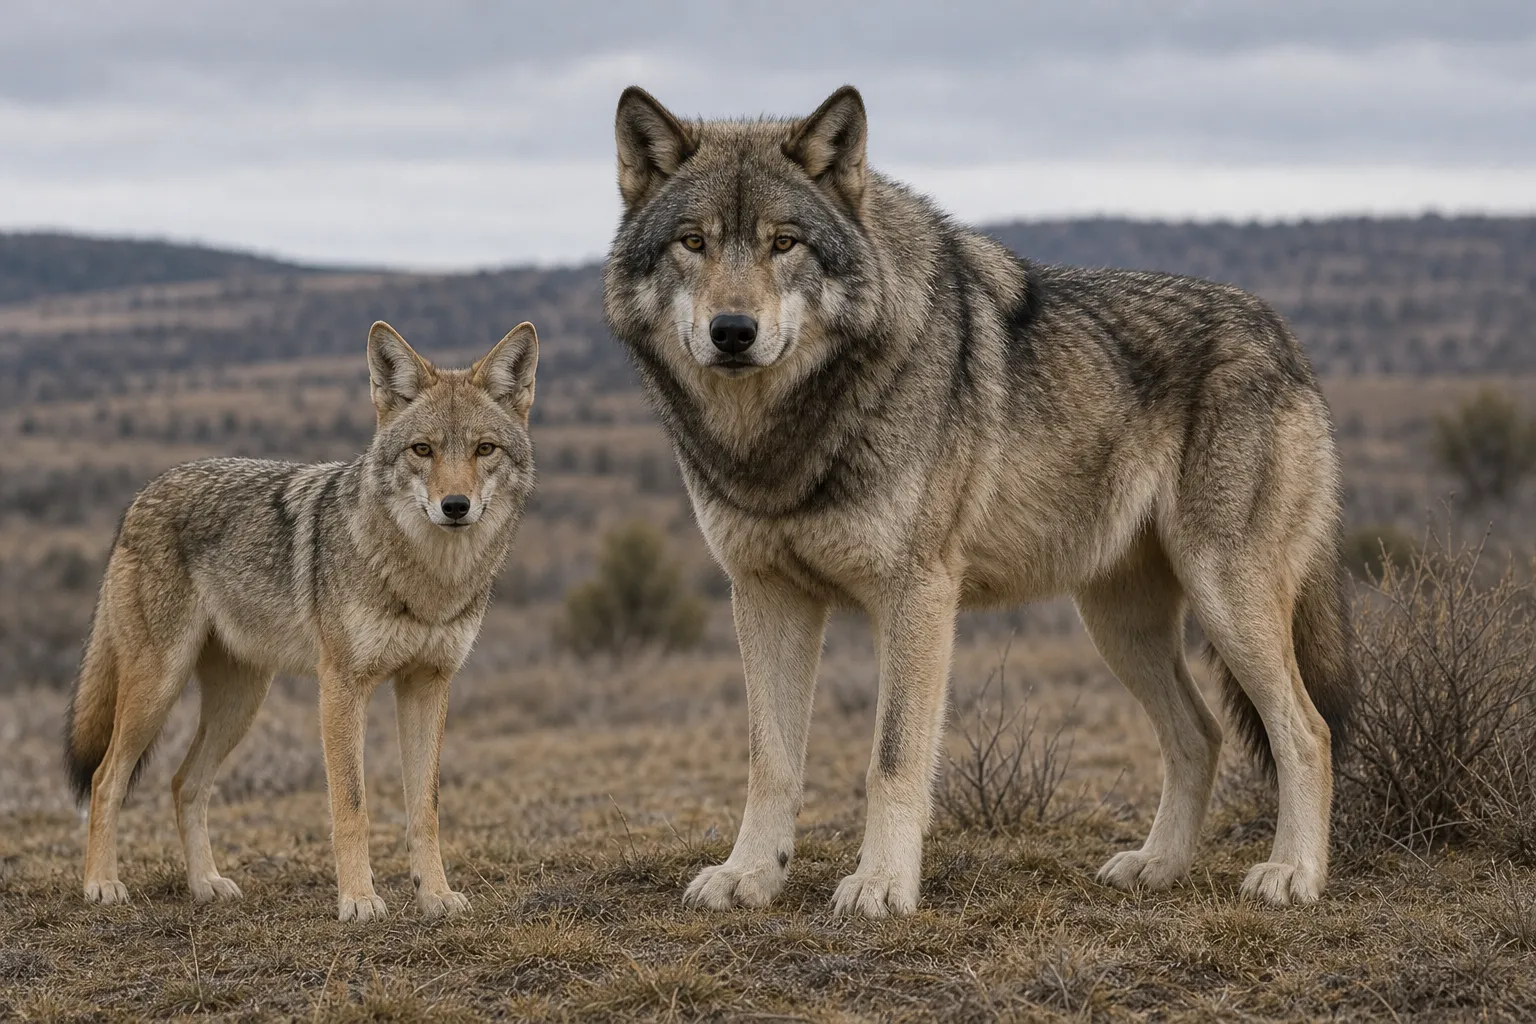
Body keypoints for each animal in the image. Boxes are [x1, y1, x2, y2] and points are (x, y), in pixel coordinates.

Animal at [64, 320, 538, 921]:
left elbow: (424, 809)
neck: (427, 581)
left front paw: (435, 894)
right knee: (107, 778)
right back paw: (102, 884)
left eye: (484, 449)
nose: (455, 505)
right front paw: (358, 900)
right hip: (159, 688)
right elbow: (351, 806)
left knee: (183, 782)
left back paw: (205, 883)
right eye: (422, 450)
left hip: (241, 702)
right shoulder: (341, 686)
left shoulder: (428, 684)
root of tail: (140, 496)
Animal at [604, 85, 1356, 917]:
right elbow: (771, 762)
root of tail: (1285, 337)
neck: (781, 441)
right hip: (1119, 623)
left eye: (784, 243)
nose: (732, 332)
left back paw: (1293, 873)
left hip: (1225, 599)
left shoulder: (918, 595)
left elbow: (893, 759)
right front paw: (750, 874)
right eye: (693, 243)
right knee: (1201, 734)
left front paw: (882, 884)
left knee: (1307, 731)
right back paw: (1158, 866)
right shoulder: (765, 595)